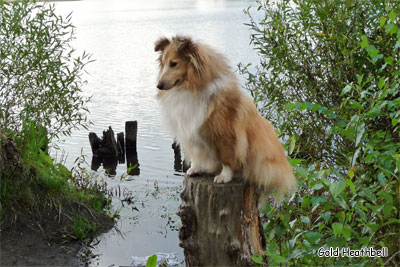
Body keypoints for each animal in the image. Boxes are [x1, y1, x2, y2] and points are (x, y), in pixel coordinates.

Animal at [155, 35, 296, 198]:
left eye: (174, 64)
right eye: (163, 63)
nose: (159, 85)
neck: (189, 88)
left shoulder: (225, 135)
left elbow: (227, 158)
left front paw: (224, 177)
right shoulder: (191, 131)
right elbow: (196, 154)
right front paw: (195, 169)